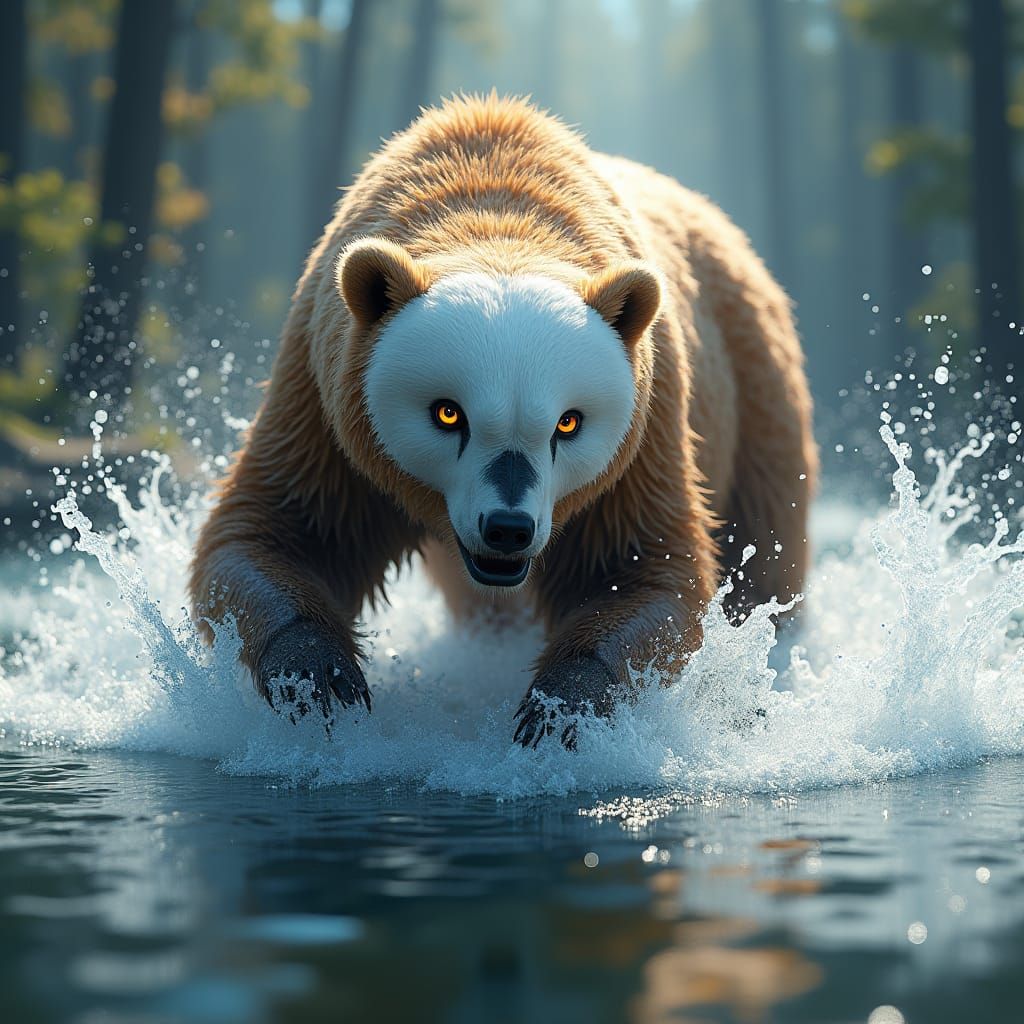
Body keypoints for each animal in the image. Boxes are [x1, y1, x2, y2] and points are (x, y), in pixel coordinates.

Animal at [189, 94, 817, 749]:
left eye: (568, 423)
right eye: (449, 413)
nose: (507, 529)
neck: (498, 195)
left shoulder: (648, 420)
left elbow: (642, 566)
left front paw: (557, 708)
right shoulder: (323, 398)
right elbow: (280, 532)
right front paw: (320, 682)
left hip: (755, 386)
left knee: (763, 545)